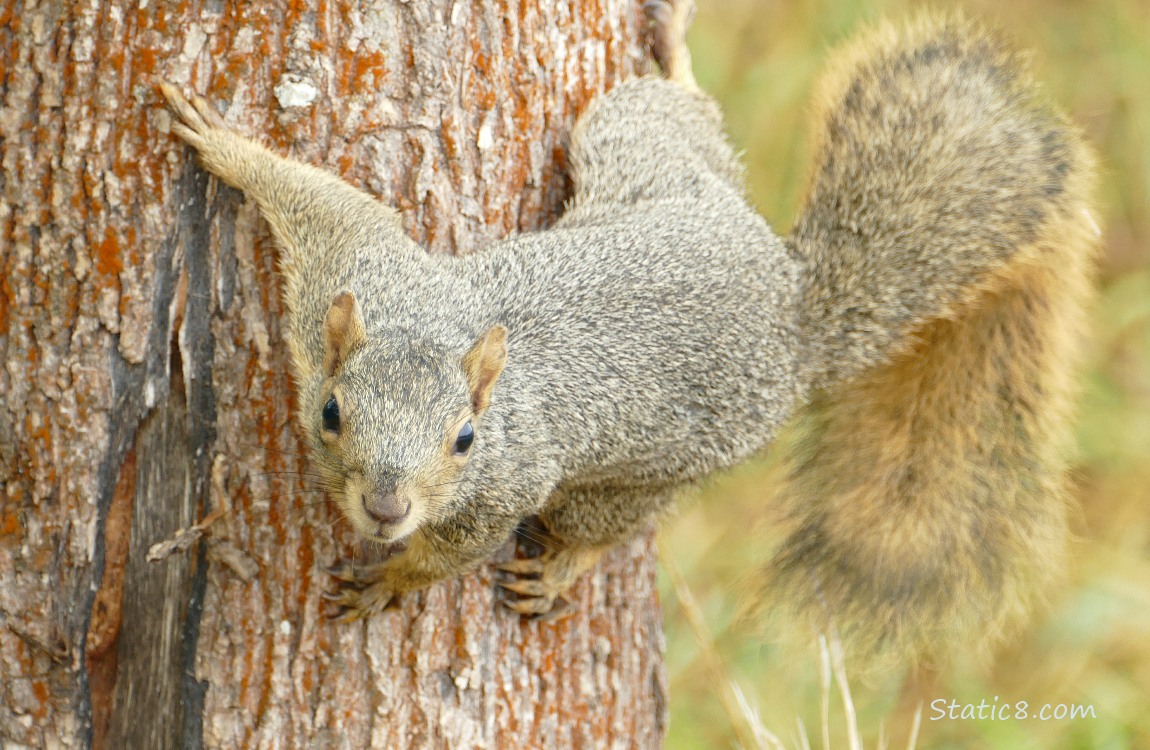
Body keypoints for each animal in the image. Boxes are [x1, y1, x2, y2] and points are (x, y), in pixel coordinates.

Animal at [158, 0, 1097, 661]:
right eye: (330, 413)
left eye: (466, 439)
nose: (386, 508)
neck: (425, 326)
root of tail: (790, 309)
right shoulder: (349, 269)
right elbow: (319, 198)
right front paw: (228, 145)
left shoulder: (504, 485)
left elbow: (455, 555)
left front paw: (392, 579)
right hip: (649, 159)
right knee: (682, 120)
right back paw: (676, 53)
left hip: (652, 461)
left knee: (612, 521)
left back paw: (565, 565)